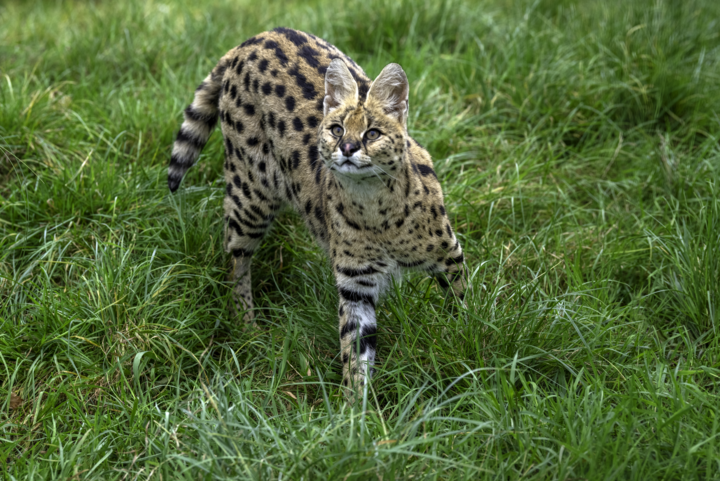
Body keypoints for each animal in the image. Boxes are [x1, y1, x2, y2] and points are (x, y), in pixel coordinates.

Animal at [168, 27, 466, 394]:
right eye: (337, 129)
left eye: (372, 133)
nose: (348, 147)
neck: (376, 209)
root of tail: (255, 37)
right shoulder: (355, 284)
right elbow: (354, 352)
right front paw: (355, 406)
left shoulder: (450, 255)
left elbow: (461, 309)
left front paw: (464, 343)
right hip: (249, 194)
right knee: (236, 260)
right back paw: (247, 326)